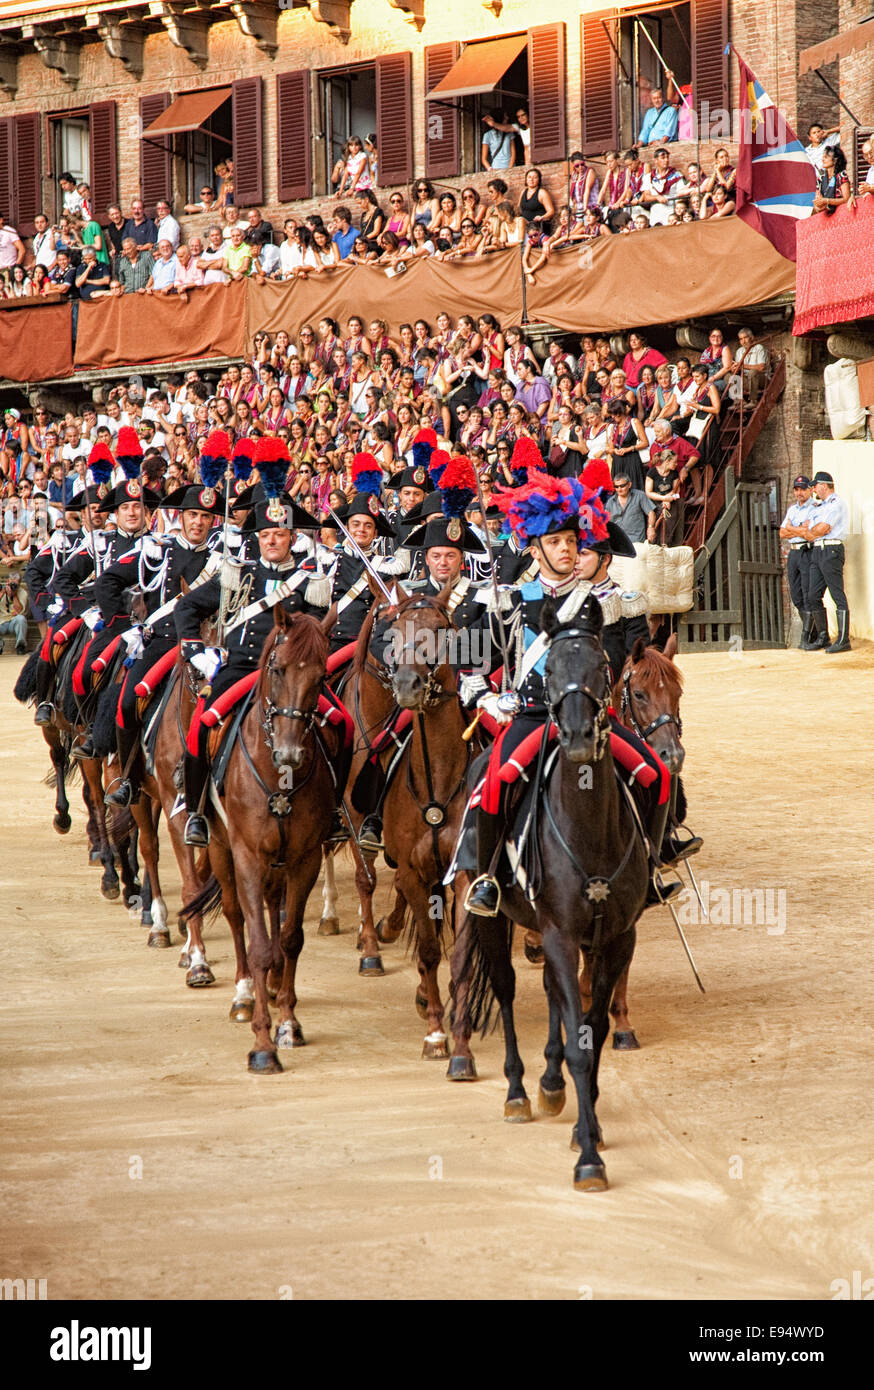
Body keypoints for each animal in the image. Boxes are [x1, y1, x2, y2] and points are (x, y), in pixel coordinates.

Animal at [455, 592, 647, 1189]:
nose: (580, 738)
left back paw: (550, 1083)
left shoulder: (615, 939)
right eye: (554, 670)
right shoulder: (561, 934)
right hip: (492, 919)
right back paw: (520, 1089)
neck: (588, 829)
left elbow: (592, 1029)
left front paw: (589, 1125)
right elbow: (578, 1037)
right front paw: (588, 1156)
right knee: (507, 989)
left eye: (603, 667)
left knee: (552, 997)